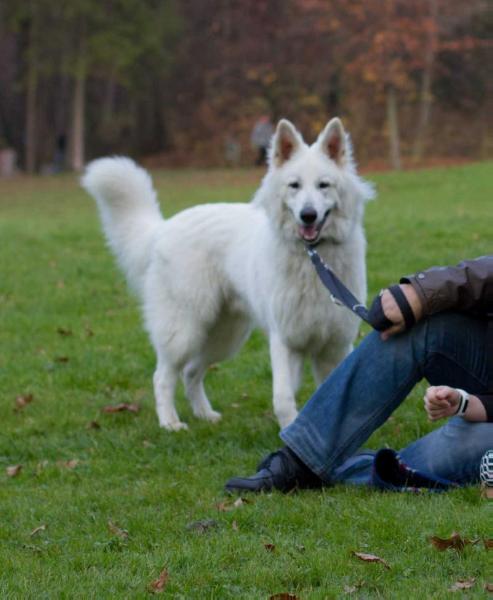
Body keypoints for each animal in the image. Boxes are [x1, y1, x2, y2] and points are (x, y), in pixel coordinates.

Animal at [81, 118, 372, 432]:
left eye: (323, 185)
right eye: (294, 185)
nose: (308, 215)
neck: (314, 259)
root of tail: (164, 227)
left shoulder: (335, 346)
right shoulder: (284, 341)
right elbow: (283, 398)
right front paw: (289, 432)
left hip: (224, 336)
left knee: (191, 371)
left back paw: (205, 415)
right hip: (185, 331)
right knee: (163, 376)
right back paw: (170, 423)